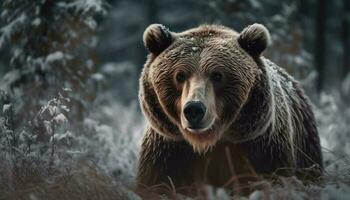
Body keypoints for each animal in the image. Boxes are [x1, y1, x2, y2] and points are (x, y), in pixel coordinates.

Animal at [137, 23, 322, 192]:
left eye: (217, 75)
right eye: (180, 76)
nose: (194, 109)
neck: (207, 142)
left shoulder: (262, 147)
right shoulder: (168, 149)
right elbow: (158, 183)